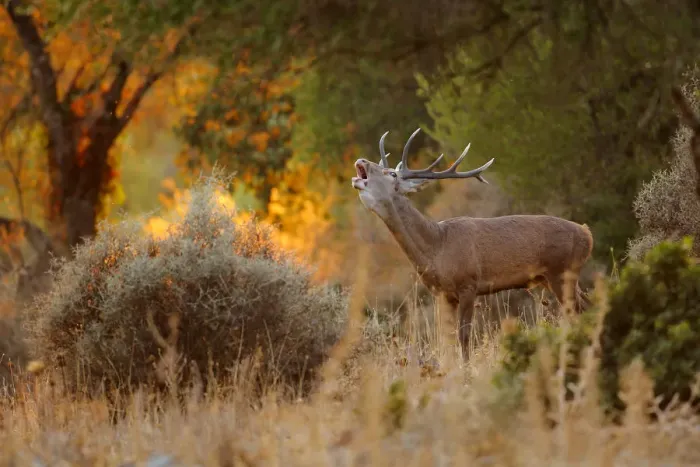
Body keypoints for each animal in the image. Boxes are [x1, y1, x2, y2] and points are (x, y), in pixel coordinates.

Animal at [351, 128, 593, 358]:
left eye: (391, 173)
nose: (362, 160)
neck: (437, 247)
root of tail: (587, 234)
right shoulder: (443, 294)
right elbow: (445, 339)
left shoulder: (468, 283)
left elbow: (464, 336)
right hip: (554, 278)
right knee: (587, 305)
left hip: (562, 272)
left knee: (578, 311)